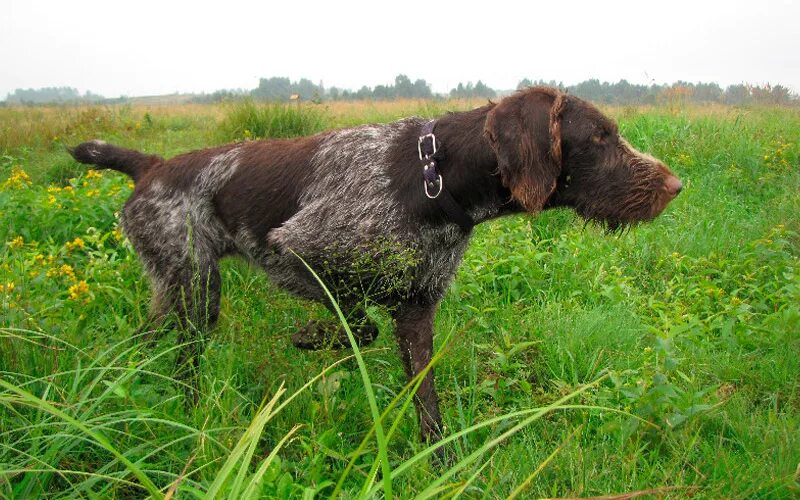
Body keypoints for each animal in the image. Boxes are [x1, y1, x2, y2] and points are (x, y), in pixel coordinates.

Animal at [67, 87, 680, 446]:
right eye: (600, 136)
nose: (675, 186)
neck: (436, 178)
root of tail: (152, 166)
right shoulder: (295, 250)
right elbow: (358, 324)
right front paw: (313, 337)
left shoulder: (416, 313)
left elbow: (426, 405)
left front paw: (437, 468)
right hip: (197, 291)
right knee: (182, 362)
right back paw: (186, 422)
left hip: (175, 290)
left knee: (146, 342)